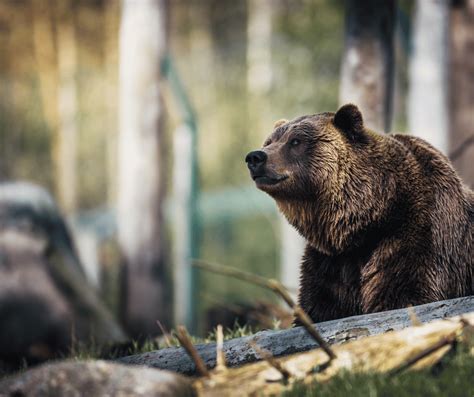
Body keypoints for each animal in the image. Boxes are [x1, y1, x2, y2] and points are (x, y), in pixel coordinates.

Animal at [246, 104, 472, 322]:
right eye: (270, 141)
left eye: (295, 141)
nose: (255, 157)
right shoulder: (331, 263)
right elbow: (318, 306)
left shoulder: (418, 237)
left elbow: (404, 294)